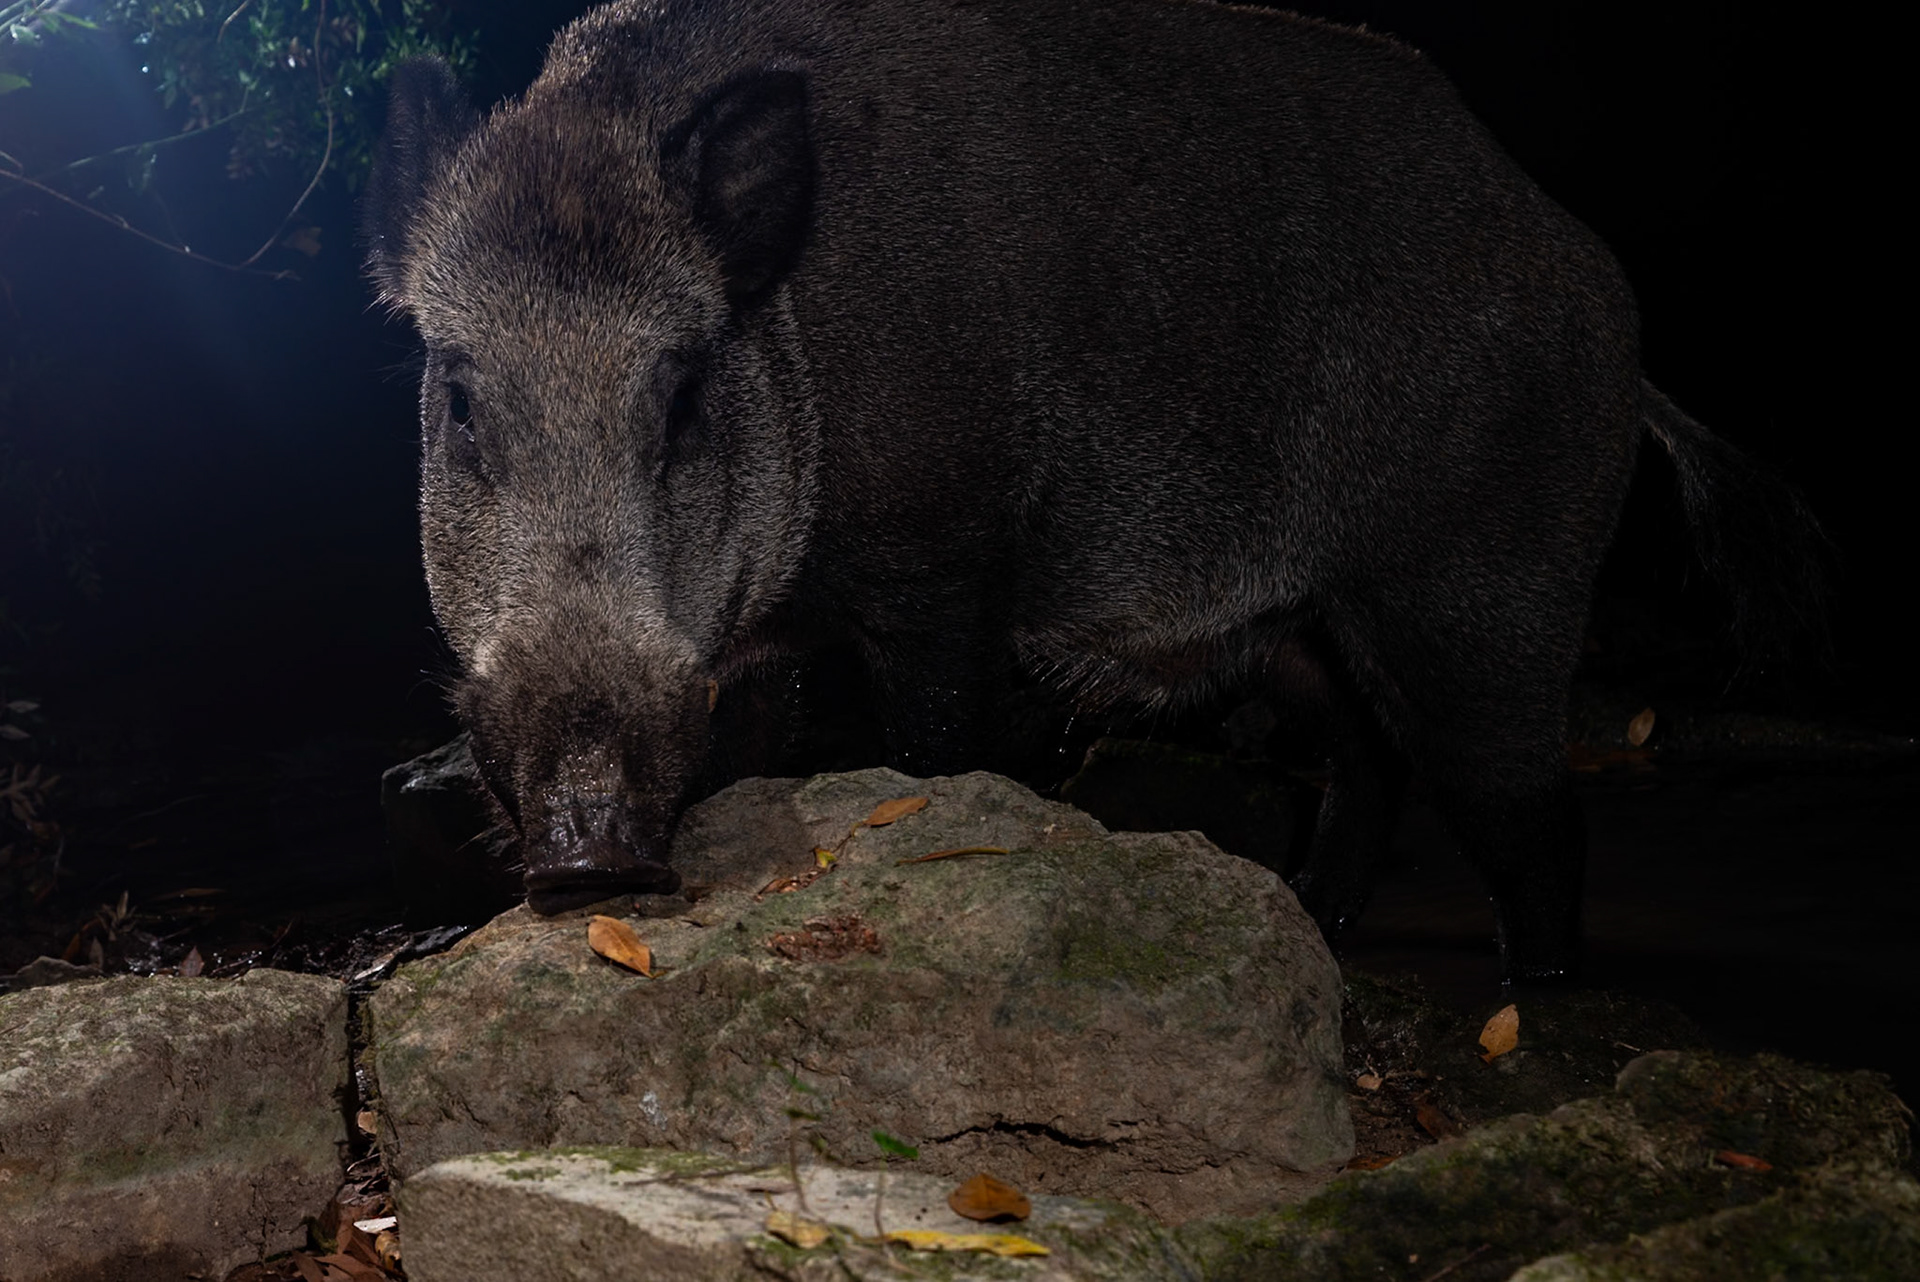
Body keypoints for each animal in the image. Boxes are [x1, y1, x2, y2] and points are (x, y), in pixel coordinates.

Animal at [364, 0, 1823, 980]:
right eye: (459, 398)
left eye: (679, 395)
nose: (586, 844)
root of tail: (1612, 315)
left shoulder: (944, 553)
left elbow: (930, 746)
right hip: (1300, 637)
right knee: (1365, 764)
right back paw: (1320, 924)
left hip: (1488, 586)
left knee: (1531, 812)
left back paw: (1532, 999)